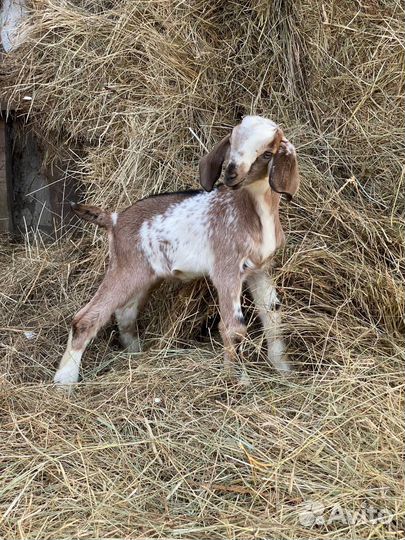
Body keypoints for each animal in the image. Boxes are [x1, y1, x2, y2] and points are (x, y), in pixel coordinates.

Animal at [53, 114, 298, 386]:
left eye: (267, 154)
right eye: (232, 142)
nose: (231, 174)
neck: (252, 212)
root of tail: (114, 219)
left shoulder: (260, 269)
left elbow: (273, 314)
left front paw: (284, 370)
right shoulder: (226, 269)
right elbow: (233, 328)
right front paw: (240, 383)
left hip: (144, 275)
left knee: (125, 313)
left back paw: (135, 355)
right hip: (125, 268)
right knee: (86, 319)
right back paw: (64, 382)